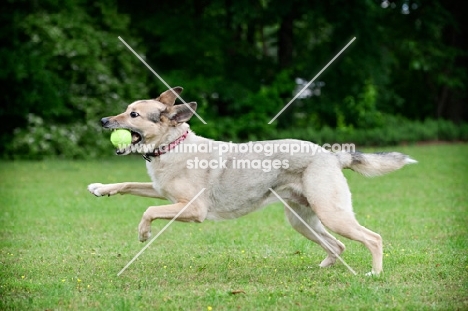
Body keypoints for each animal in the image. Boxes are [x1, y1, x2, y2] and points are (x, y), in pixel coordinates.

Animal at [88, 87, 416, 276]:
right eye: (125, 109)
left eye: (133, 114)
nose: (103, 122)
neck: (173, 145)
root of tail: (332, 156)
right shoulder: (160, 192)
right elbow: (127, 185)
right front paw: (100, 188)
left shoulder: (192, 209)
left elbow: (148, 211)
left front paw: (144, 233)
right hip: (303, 221)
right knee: (337, 245)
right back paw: (323, 268)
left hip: (332, 214)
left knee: (373, 238)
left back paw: (375, 274)